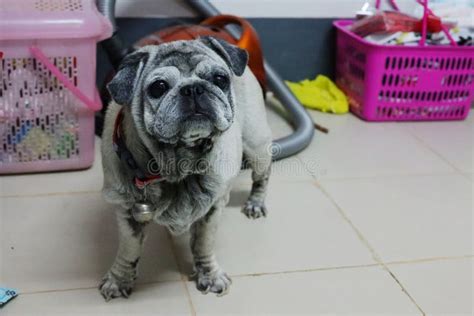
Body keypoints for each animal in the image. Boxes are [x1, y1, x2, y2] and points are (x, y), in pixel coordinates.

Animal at [98, 36, 272, 298]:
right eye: (158, 87)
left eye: (220, 79)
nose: (193, 88)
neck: (179, 164)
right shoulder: (127, 213)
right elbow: (128, 251)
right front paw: (119, 280)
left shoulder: (212, 210)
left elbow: (203, 245)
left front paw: (209, 275)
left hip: (256, 145)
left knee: (262, 175)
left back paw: (255, 203)